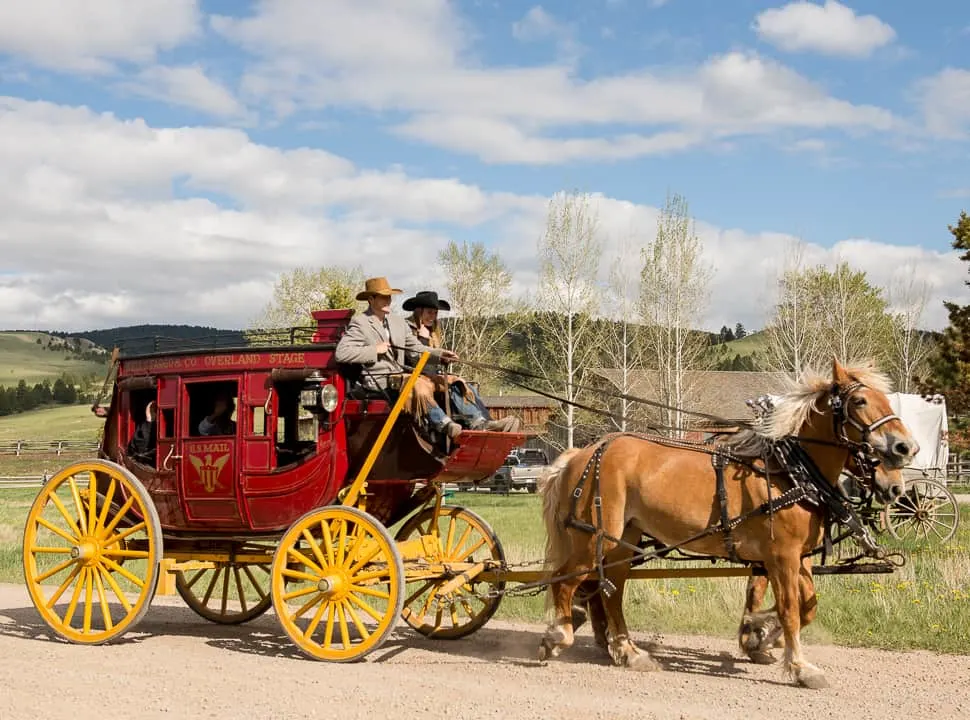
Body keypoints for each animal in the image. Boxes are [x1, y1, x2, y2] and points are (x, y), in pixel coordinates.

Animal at [536, 362, 916, 688]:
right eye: (860, 401)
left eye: (885, 399)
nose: (906, 447)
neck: (790, 473)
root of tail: (582, 453)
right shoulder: (781, 557)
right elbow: (791, 610)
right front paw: (798, 666)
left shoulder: (797, 557)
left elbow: (807, 607)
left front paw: (758, 632)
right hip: (595, 537)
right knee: (566, 580)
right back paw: (559, 635)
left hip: (620, 539)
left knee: (610, 592)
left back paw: (628, 651)